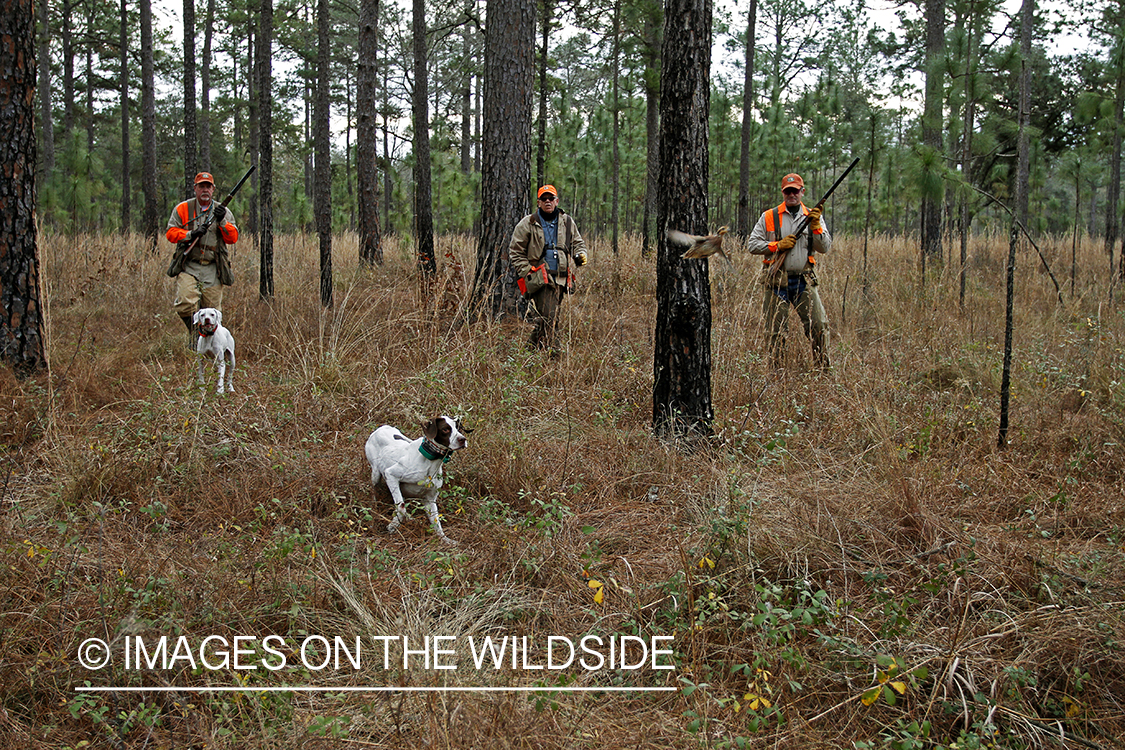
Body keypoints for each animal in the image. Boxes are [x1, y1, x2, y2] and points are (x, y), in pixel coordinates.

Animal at [364, 416, 470, 546]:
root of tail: (382, 428)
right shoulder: (391, 475)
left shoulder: (430, 499)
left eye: (459, 428)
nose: (462, 439)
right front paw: (394, 524)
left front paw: (445, 539)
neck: (431, 462)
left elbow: (436, 523)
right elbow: (401, 507)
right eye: (445, 429)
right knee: (374, 491)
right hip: (375, 474)